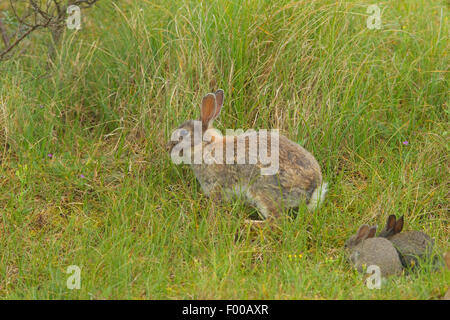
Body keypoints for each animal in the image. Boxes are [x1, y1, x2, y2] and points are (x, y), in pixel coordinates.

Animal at [167, 90, 328, 220]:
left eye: (182, 135)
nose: (168, 147)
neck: (205, 147)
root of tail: (313, 188)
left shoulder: (216, 186)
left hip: (264, 191)